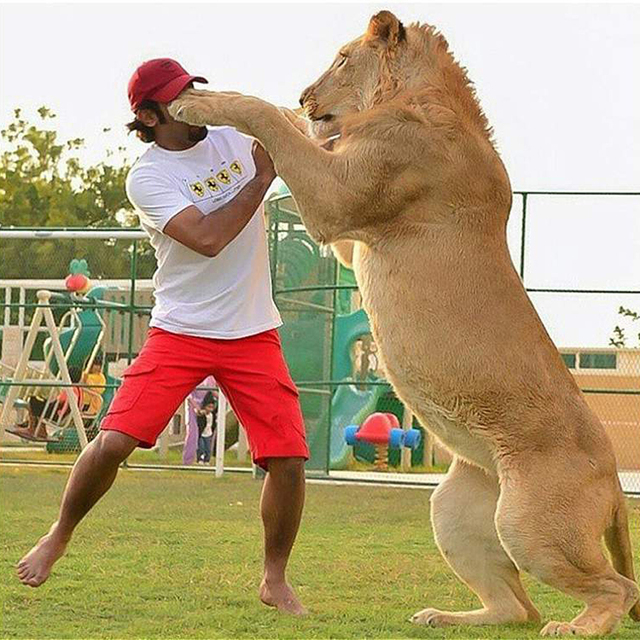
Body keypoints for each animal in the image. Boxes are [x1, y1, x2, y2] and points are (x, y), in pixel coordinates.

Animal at [170, 10, 640, 636]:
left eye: (342, 57)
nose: (306, 92)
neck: (412, 98)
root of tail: (613, 480)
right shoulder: (349, 233)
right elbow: (297, 143)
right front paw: (284, 117)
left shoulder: (340, 197)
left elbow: (268, 117)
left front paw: (200, 104)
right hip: (459, 509)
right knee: (516, 606)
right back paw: (445, 615)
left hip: (529, 523)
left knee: (617, 588)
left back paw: (576, 625)